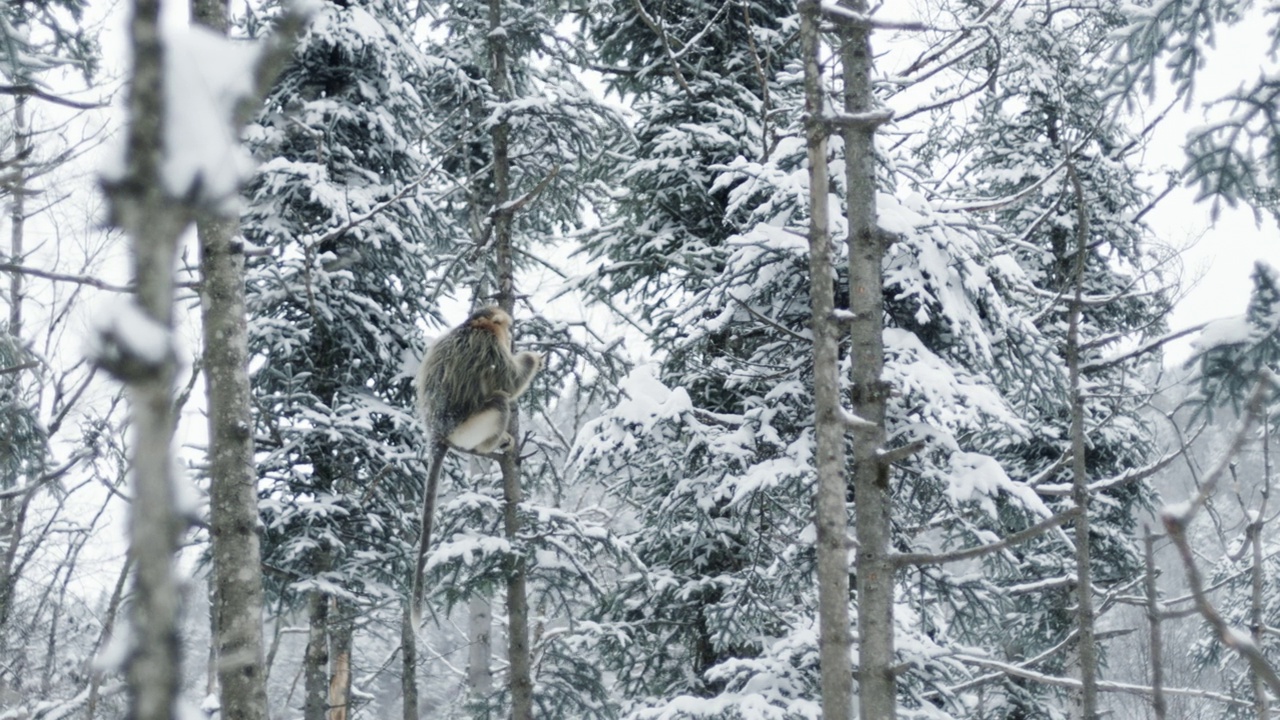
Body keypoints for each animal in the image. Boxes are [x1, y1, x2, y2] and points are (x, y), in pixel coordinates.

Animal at [409, 304, 540, 614]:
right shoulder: (489, 347)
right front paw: (532, 357)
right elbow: (511, 382)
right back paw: (494, 444)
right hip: (465, 431)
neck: (471, 327)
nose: (510, 334)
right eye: (505, 329)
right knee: (501, 400)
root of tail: (437, 435)